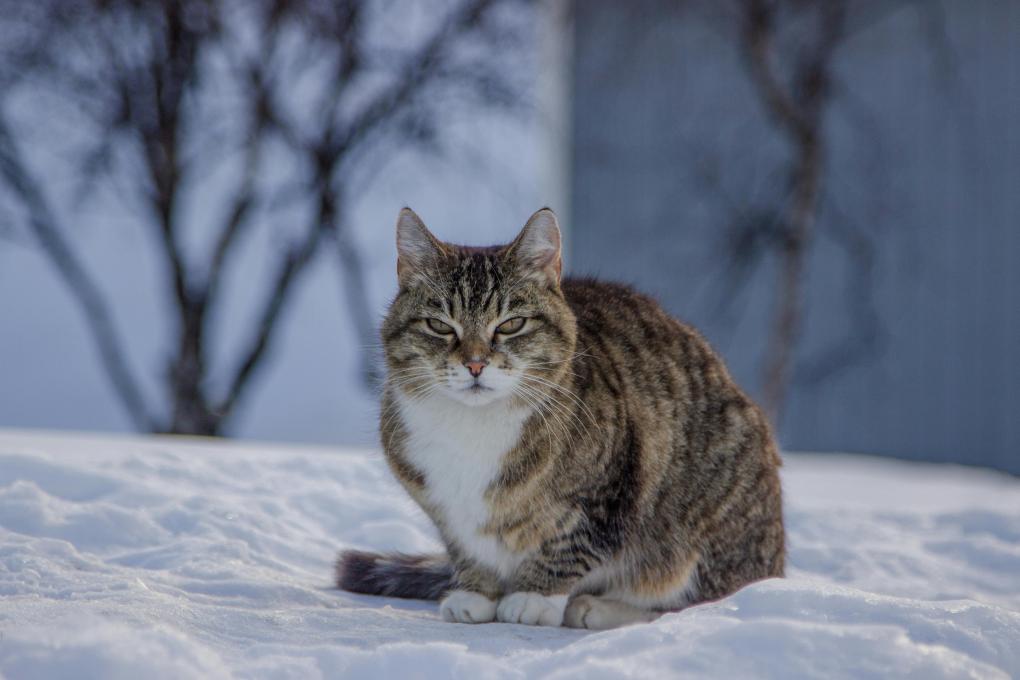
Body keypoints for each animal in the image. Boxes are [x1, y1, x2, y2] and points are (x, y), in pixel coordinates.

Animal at [338, 205, 783, 628]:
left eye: (511, 324)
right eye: (439, 326)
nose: (475, 364)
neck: (472, 429)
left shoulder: (608, 488)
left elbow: (570, 543)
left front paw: (533, 597)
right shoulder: (442, 507)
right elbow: (465, 545)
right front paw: (476, 593)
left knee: (696, 602)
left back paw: (598, 607)